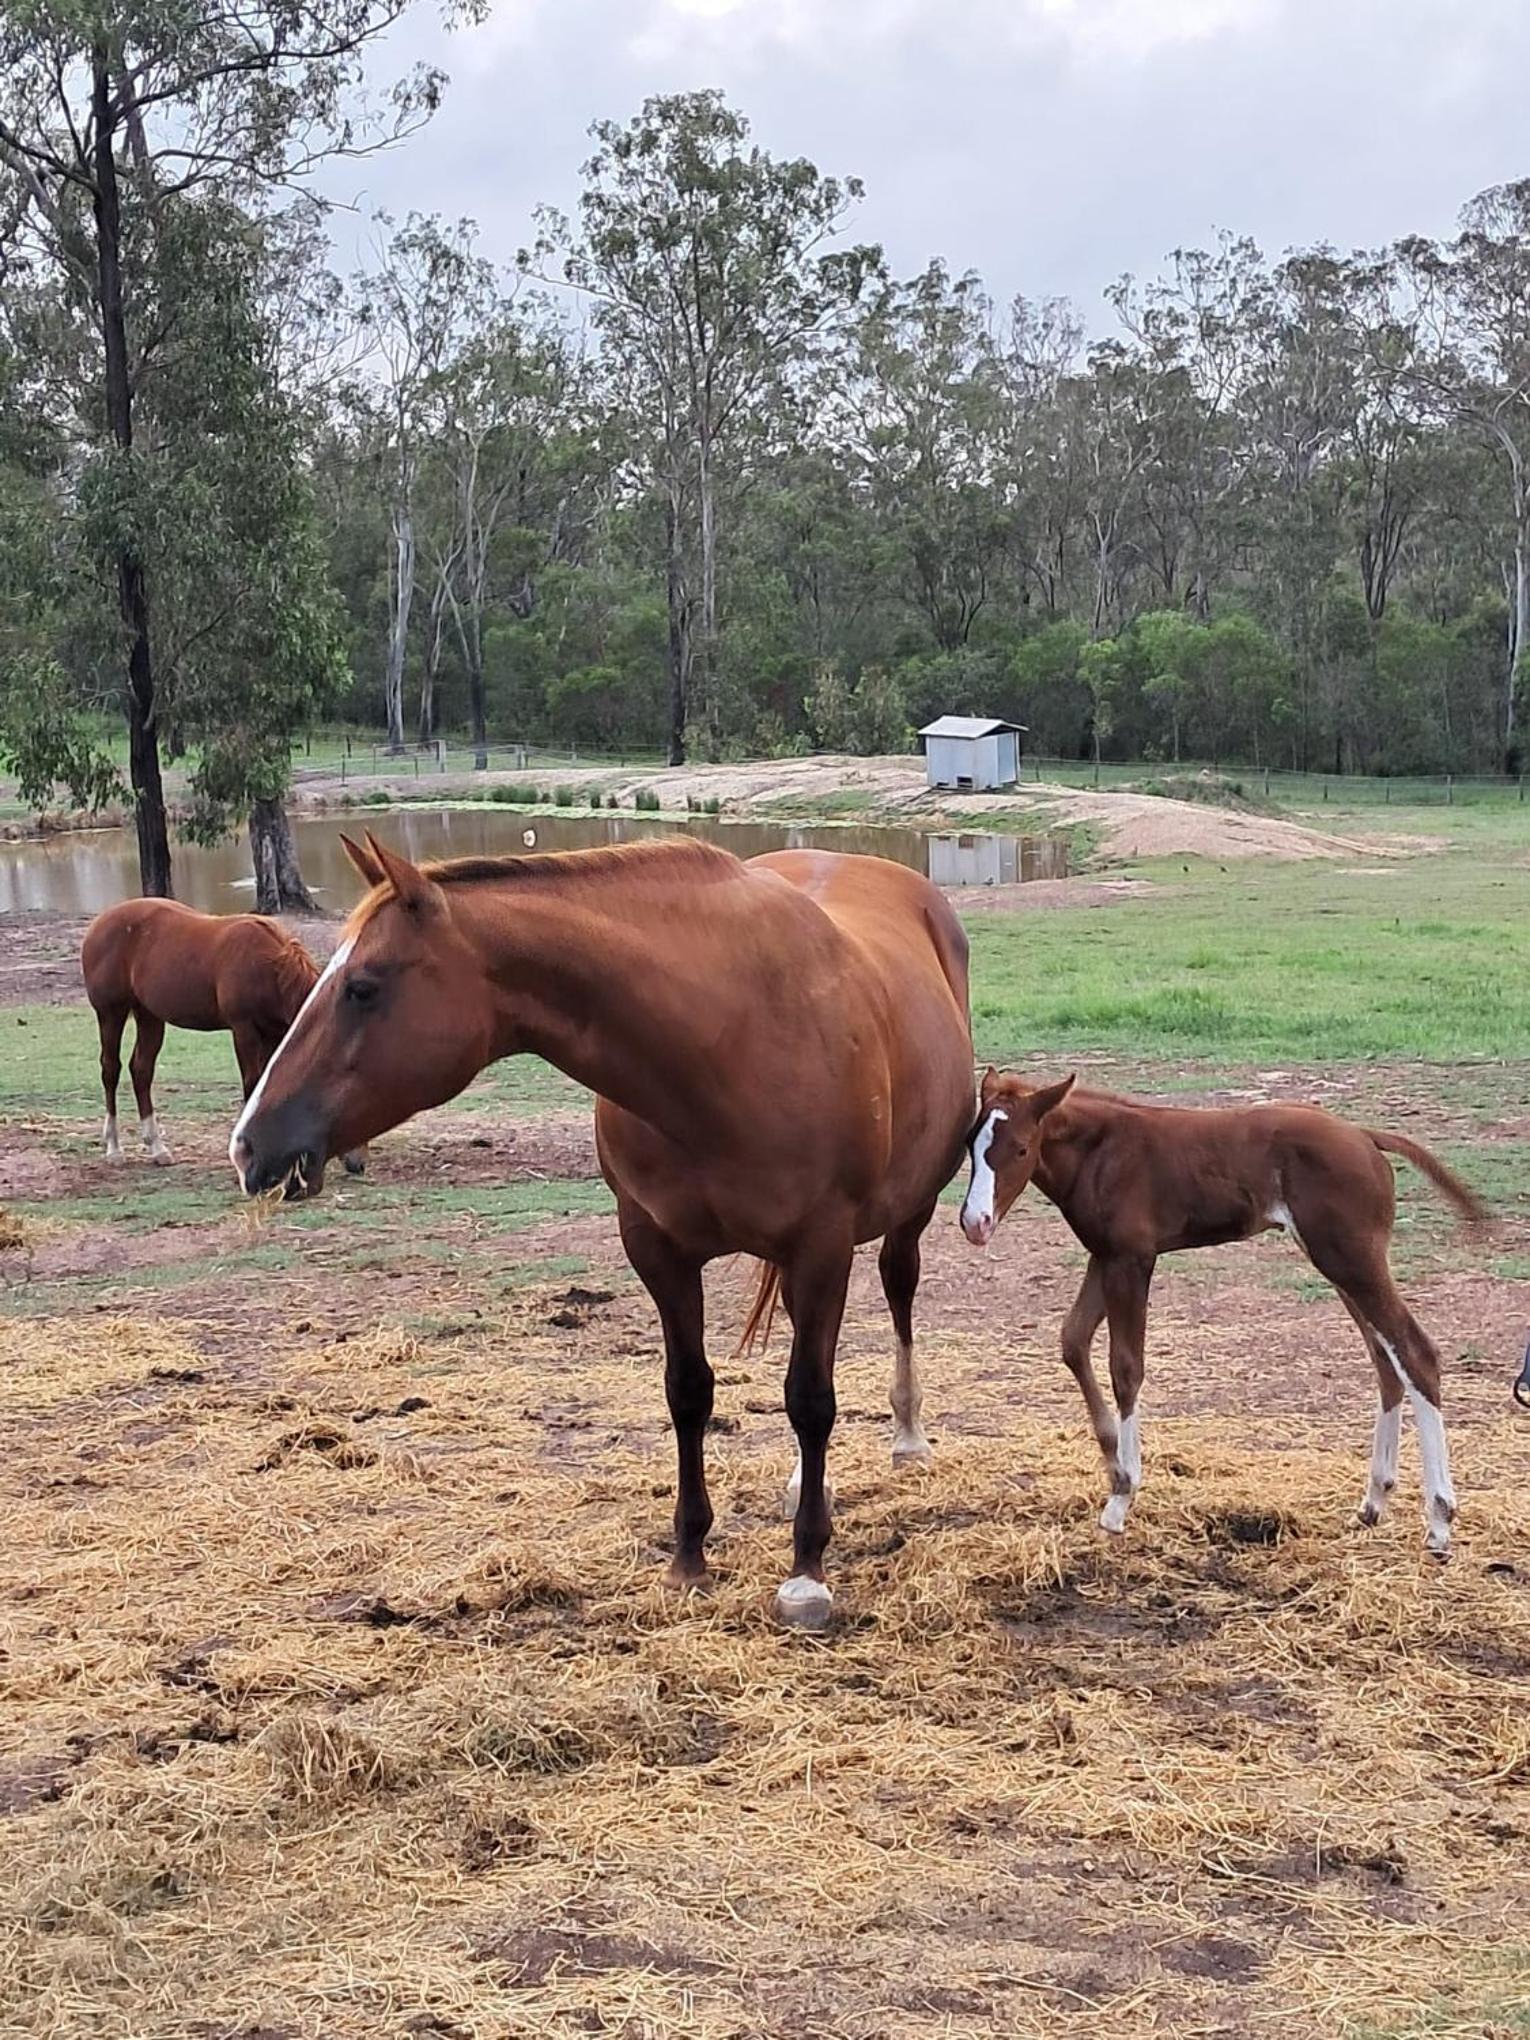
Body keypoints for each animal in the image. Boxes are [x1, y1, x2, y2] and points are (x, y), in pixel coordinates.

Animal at [81, 898, 365, 1179]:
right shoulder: (243, 1029)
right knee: (110, 1070)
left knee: (141, 1071)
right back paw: (114, 1149)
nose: (357, 1163)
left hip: (149, 1016)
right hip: (111, 1013)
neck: (267, 966)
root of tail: (99, 923)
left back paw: (157, 1149)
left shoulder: (275, 1034)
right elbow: (252, 1082)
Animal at [228, 831, 975, 1626]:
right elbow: (689, 1392)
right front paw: (689, 1556)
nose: (249, 1146)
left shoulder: (821, 1247)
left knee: (897, 1292)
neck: (726, 1039)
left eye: (363, 987)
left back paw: (907, 1437)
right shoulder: (657, 1249)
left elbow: (809, 1399)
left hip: (905, 1218)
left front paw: (806, 1572)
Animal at [959, 1071, 1489, 1558]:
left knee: (1414, 1351)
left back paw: (1439, 1521)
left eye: (1021, 1149)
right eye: (971, 1145)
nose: (975, 1223)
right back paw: (1375, 1500)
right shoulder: (1105, 1255)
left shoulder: (1133, 1259)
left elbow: (1126, 1367)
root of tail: (1364, 1136)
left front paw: (1122, 1496)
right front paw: (1112, 1464)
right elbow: (1073, 1341)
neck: (1103, 1151)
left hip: (1350, 1258)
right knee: (1385, 1358)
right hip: (1338, 1260)